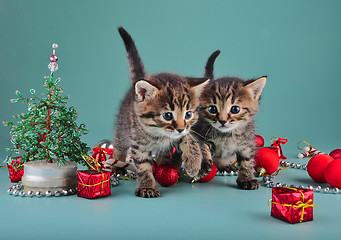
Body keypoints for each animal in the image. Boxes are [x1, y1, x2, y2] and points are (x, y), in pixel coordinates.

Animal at [114, 27, 209, 198]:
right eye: (167, 115)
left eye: (188, 114)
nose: (180, 128)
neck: (158, 134)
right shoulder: (138, 144)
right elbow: (143, 167)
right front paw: (147, 187)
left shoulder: (182, 132)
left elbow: (188, 138)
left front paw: (193, 161)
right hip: (123, 128)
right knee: (119, 144)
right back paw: (117, 164)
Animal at [191, 50, 266, 189]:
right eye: (212, 109)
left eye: (235, 109)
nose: (222, 121)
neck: (226, 135)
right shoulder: (196, 132)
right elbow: (201, 145)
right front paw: (203, 162)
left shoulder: (246, 142)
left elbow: (247, 160)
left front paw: (246, 179)